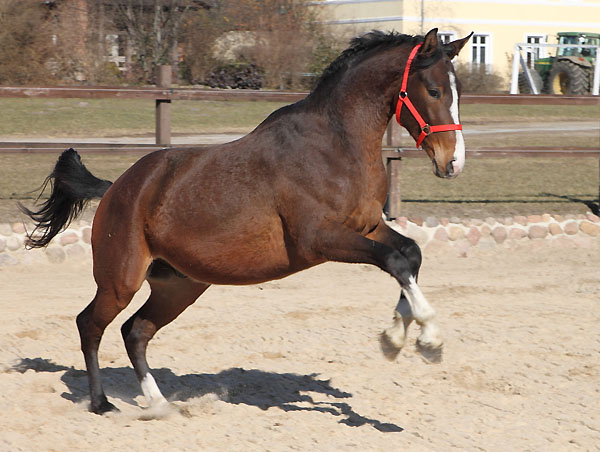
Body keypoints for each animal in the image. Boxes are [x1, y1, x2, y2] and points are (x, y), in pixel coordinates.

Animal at [22, 28, 474, 414]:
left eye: (457, 93)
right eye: (434, 90)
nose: (452, 163)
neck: (336, 144)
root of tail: (117, 187)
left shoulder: (366, 227)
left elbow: (409, 254)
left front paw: (397, 338)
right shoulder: (320, 240)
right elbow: (394, 261)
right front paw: (426, 340)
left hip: (179, 285)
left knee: (135, 331)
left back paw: (161, 404)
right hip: (120, 280)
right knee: (90, 325)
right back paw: (102, 404)